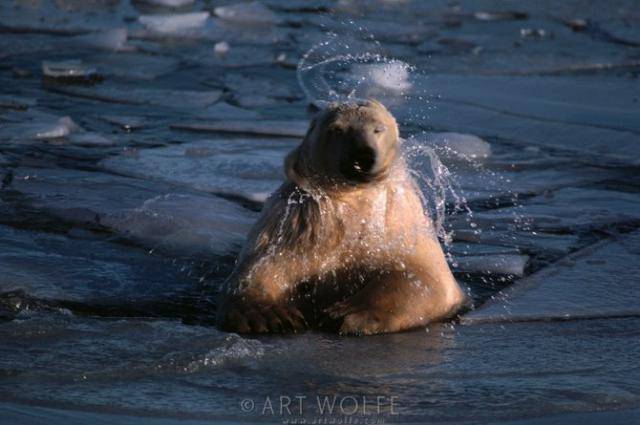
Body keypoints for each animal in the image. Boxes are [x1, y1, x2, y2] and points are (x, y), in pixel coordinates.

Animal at [215, 99, 464, 334]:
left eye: (378, 129)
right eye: (337, 129)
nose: (363, 155)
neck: (353, 202)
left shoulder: (400, 225)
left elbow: (424, 278)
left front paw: (349, 314)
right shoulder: (292, 225)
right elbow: (258, 270)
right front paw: (270, 315)